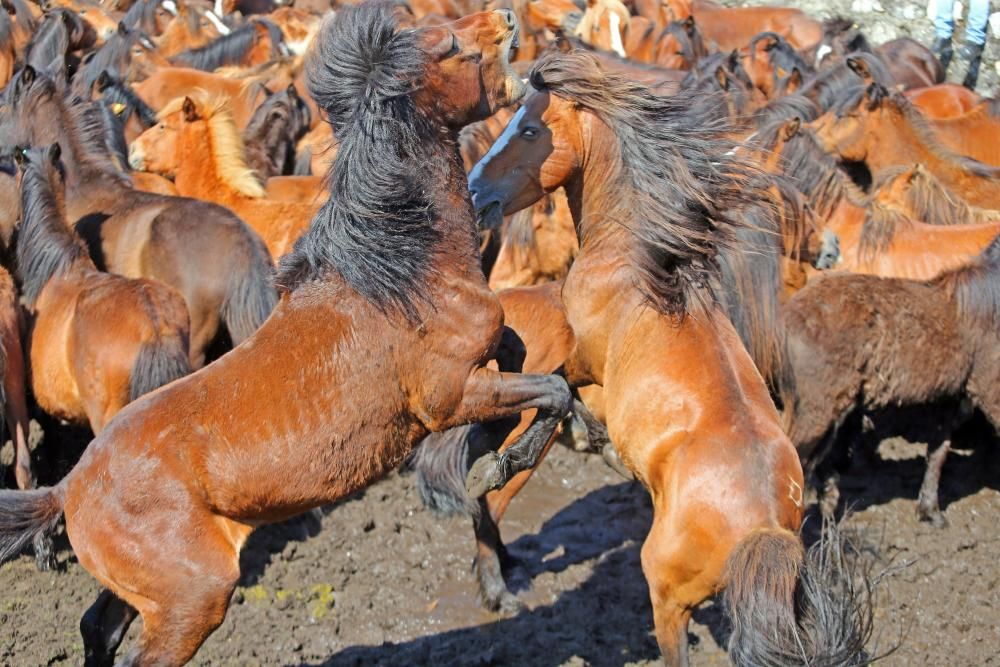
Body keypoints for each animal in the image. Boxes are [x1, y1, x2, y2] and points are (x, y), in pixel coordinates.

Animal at [0, 3, 572, 664]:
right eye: (448, 45)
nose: (507, 17)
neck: (399, 271)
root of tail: (67, 490)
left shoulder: (482, 362)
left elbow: (525, 356)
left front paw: (492, 447)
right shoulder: (448, 396)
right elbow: (552, 392)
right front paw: (500, 464)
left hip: (144, 593)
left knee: (97, 625)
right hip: (193, 599)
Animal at [464, 49, 872, 664]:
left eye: (530, 129)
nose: (472, 192)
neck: (637, 261)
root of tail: (762, 531)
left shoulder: (587, 361)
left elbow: (556, 392)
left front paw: (500, 463)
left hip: (666, 593)